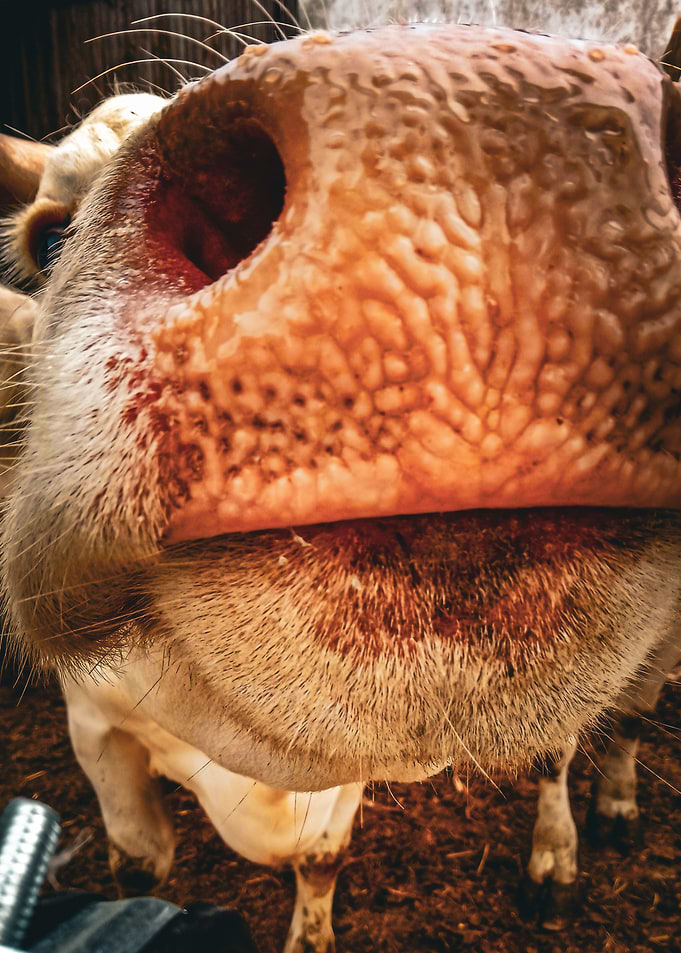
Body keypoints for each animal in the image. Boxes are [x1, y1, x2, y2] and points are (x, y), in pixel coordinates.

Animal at [2, 16, 681, 952]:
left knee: (596, 732)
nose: (465, 111)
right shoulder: (94, 726)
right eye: (46, 237)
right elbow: (140, 864)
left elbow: (321, 860)